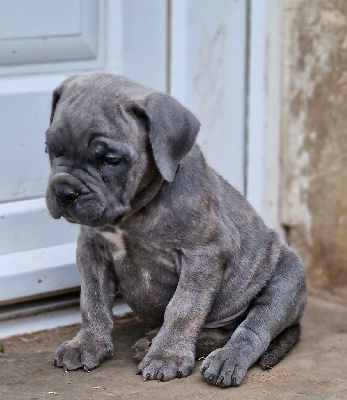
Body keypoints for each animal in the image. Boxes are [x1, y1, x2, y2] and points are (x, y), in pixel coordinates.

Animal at [44, 72, 308, 388]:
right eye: (49, 149)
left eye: (110, 160)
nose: (64, 192)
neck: (134, 213)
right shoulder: (91, 250)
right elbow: (92, 300)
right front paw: (87, 343)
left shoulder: (204, 255)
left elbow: (183, 308)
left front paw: (166, 356)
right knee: (222, 332)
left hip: (286, 278)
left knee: (252, 330)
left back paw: (225, 359)